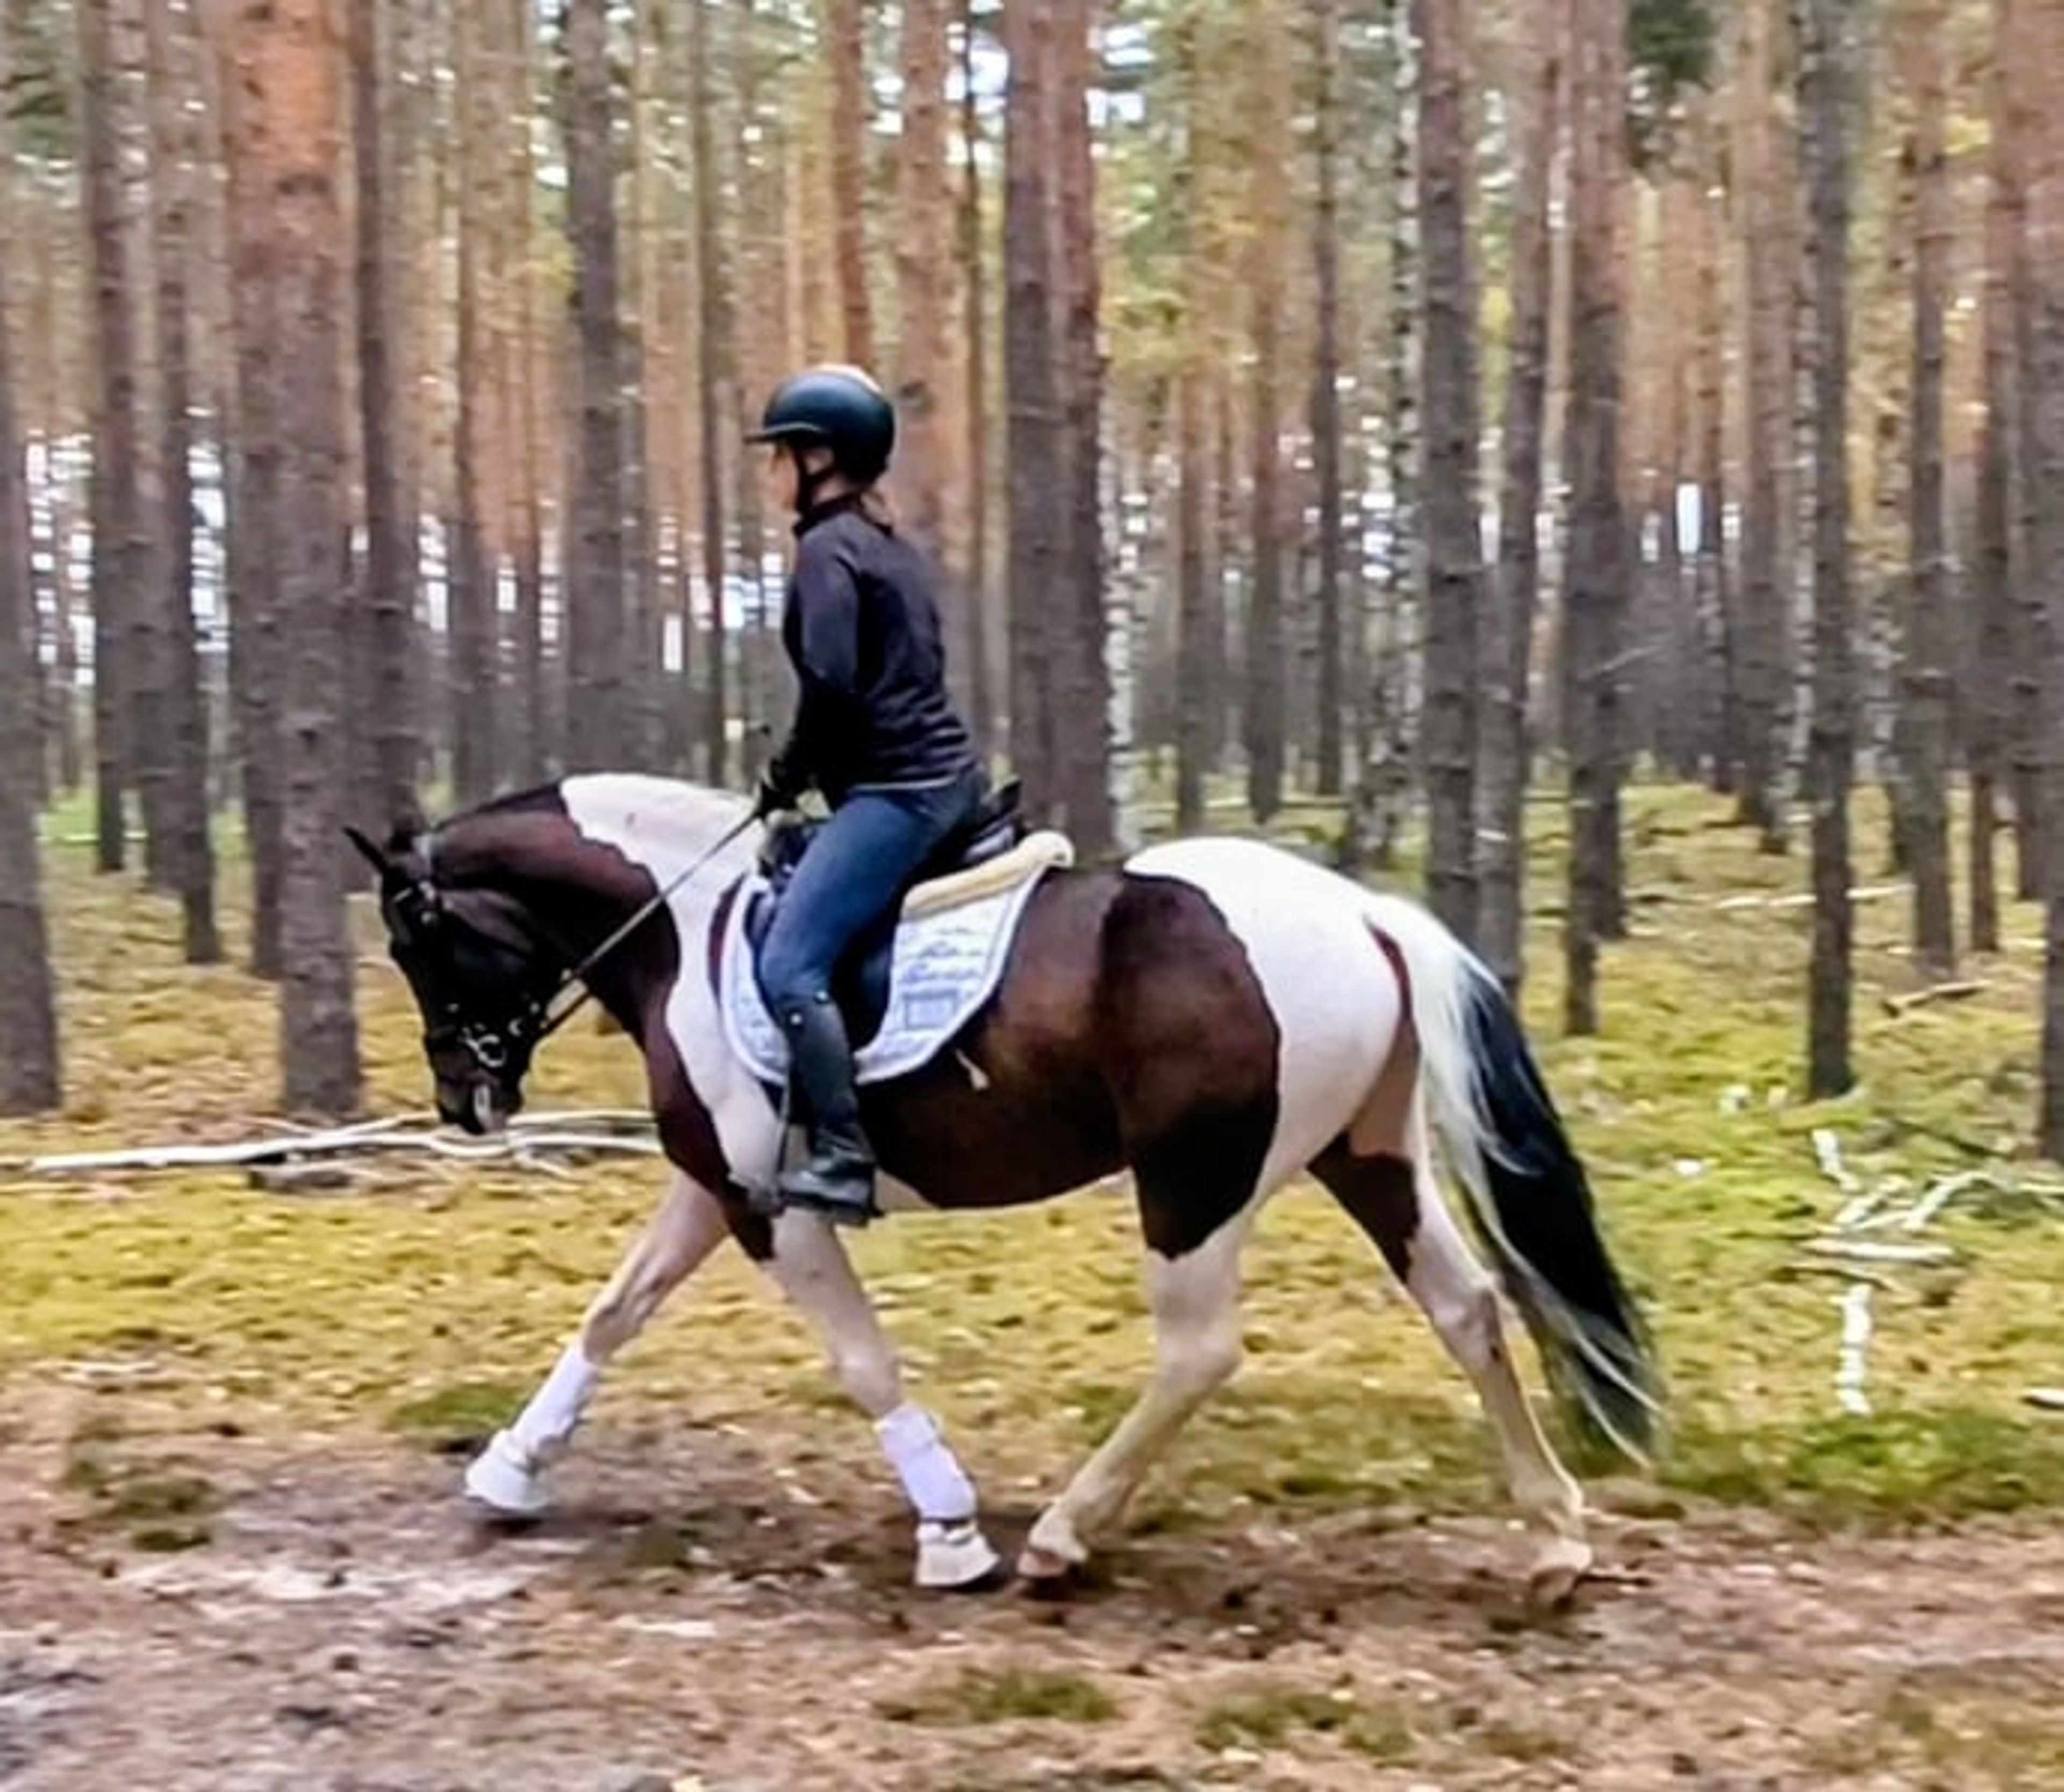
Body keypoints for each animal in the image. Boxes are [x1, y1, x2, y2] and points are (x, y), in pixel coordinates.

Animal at [348, 771, 1659, 1605]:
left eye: (418, 942)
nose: (465, 1100)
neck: (689, 925)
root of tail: (1363, 913)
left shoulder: (773, 1203)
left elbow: (863, 1360)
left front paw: (952, 1532)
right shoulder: (715, 1183)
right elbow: (616, 1309)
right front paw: (510, 1468)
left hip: (1195, 1181)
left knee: (1200, 1351)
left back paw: (1064, 1538)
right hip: (1367, 1157)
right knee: (1470, 1308)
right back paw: (1554, 1541)